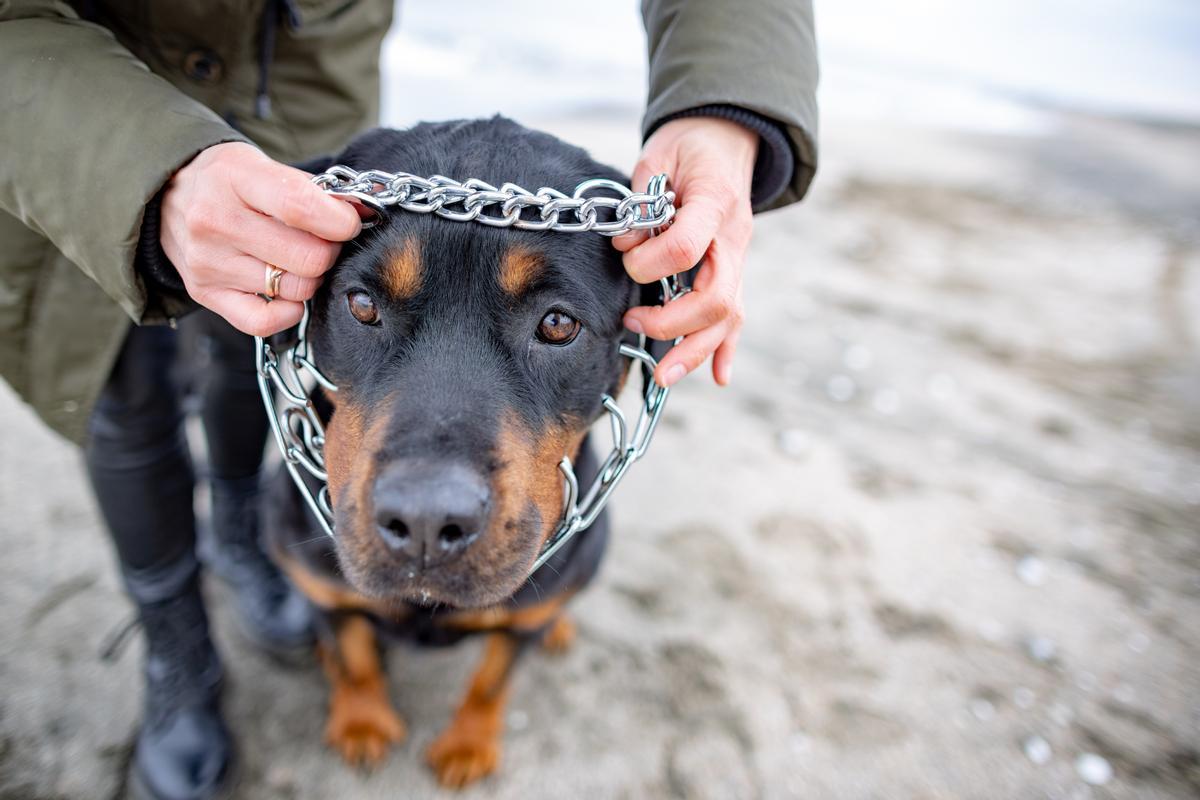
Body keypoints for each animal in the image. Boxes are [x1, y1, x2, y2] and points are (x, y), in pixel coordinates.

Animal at [262, 118, 662, 786]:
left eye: (558, 324)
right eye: (362, 304)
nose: (426, 520)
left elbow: (492, 680)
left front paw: (468, 746)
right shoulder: (318, 581)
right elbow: (353, 654)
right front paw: (362, 722)